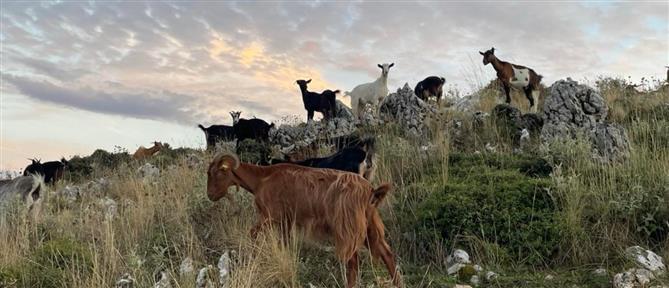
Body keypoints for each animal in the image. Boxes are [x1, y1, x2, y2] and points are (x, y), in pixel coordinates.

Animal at [206, 153, 400, 286]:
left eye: (217, 173)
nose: (210, 195)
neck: (262, 178)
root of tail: (370, 191)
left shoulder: (270, 215)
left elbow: (252, 232)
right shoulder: (285, 221)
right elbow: (284, 242)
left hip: (348, 228)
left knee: (353, 262)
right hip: (369, 224)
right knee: (386, 254)